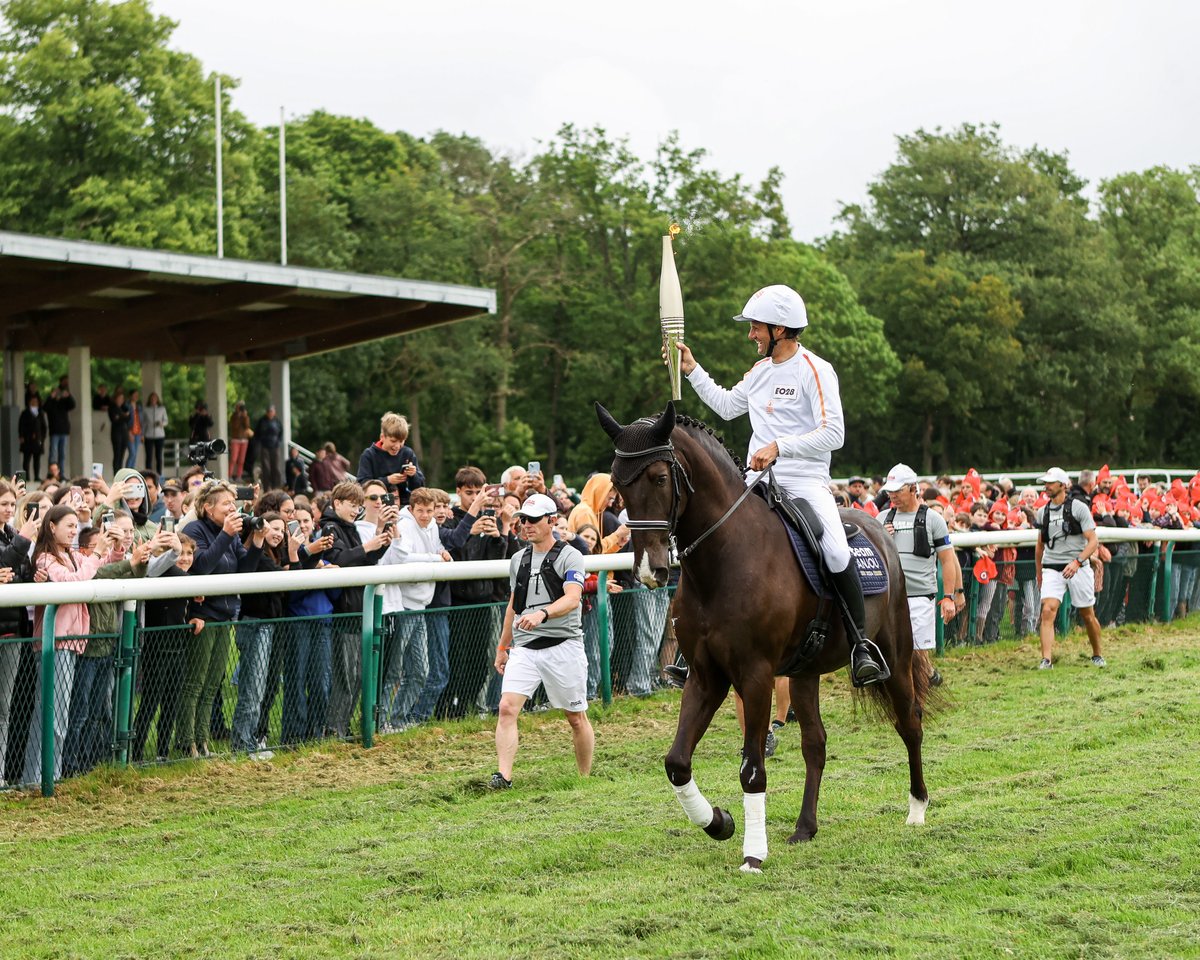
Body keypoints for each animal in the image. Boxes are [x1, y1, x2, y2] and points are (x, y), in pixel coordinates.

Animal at [597, 400, 926, 873]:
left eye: (659, 477)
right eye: (618, 484)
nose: (648, 570)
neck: (724, 558)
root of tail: (879, 526)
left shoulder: (755, 676)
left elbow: (752, 768)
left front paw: (753, 853)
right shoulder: (705, 676)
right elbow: (677, 762)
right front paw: (718, 822)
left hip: (894, 659)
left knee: (910, 723)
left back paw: (917, 809)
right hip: (805, 673)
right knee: (815, 744)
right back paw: (805, 827)